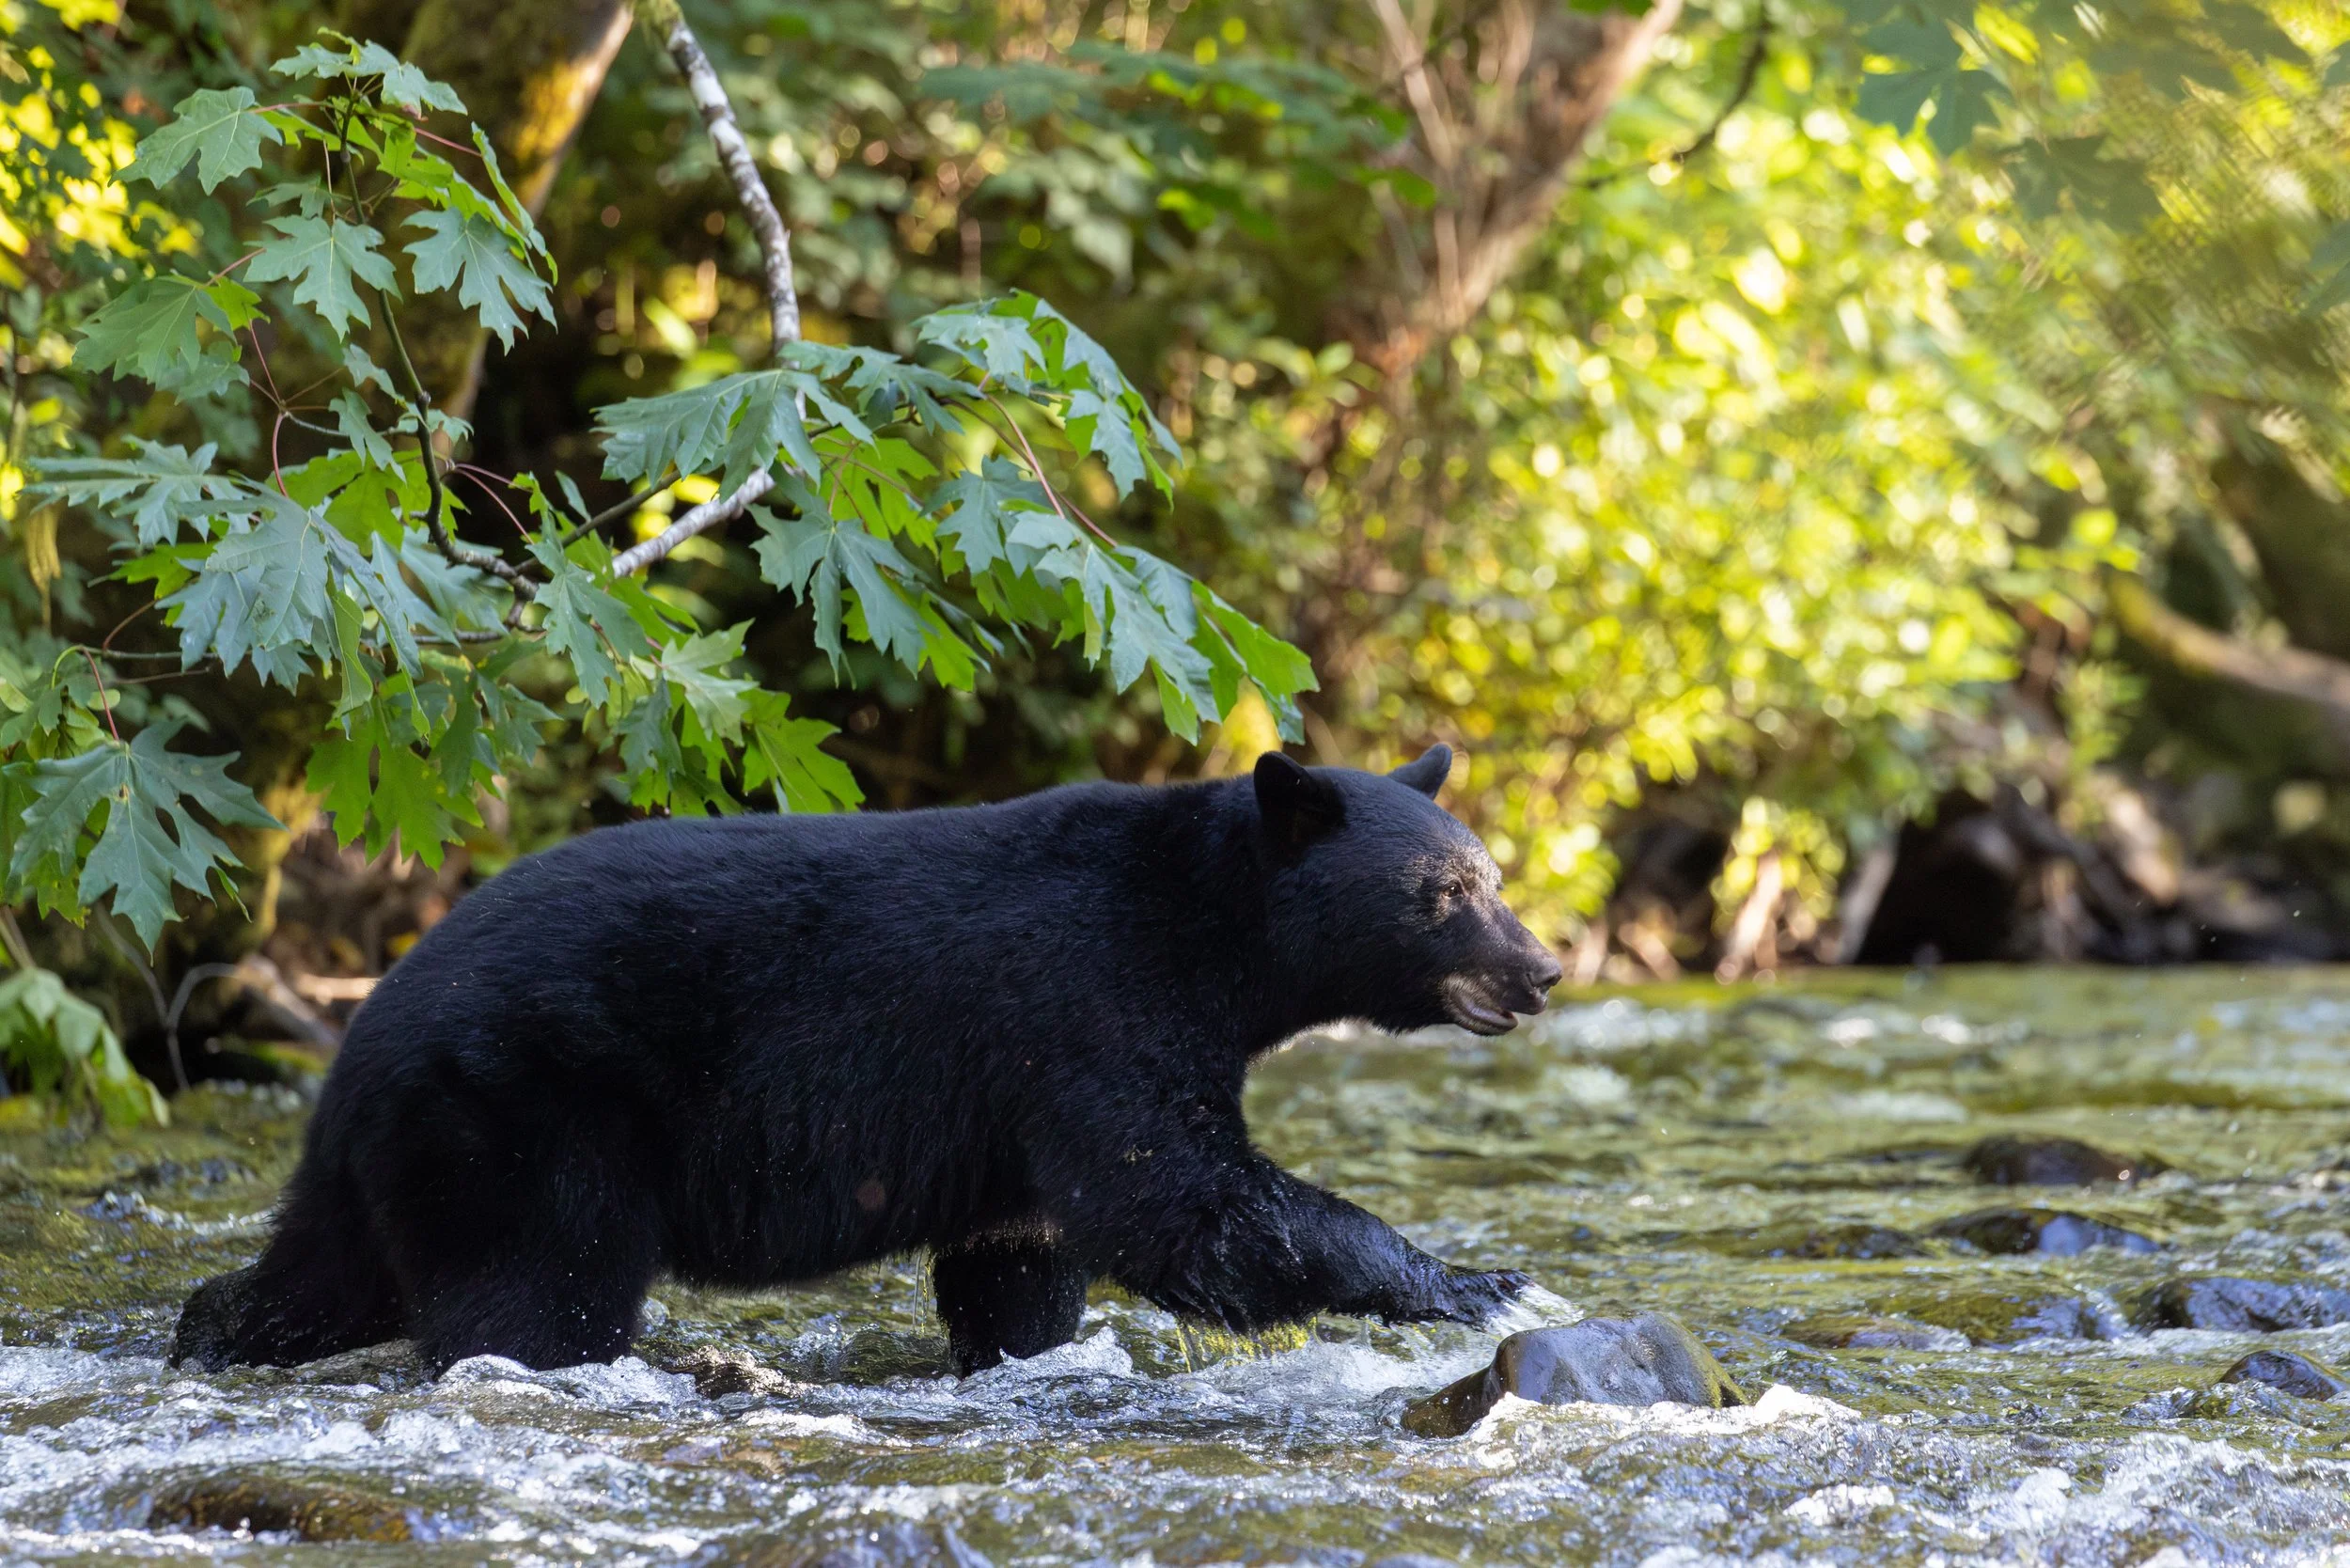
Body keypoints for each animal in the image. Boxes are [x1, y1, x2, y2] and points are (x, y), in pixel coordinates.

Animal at [172, 746, 1562, 1377]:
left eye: (1494, 875)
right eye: (1445, 894)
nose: (1542, 969)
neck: (1215, 932)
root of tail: (363, 1030)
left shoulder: (1016, 1104)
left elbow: (1022, 1255)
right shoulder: (1090, 1004)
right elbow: (1178, 1197)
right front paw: (1473, 1280)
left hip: (395, 1151)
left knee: (320, 1272)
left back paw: (210, 1329)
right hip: (526, 1110)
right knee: (539, 1291)